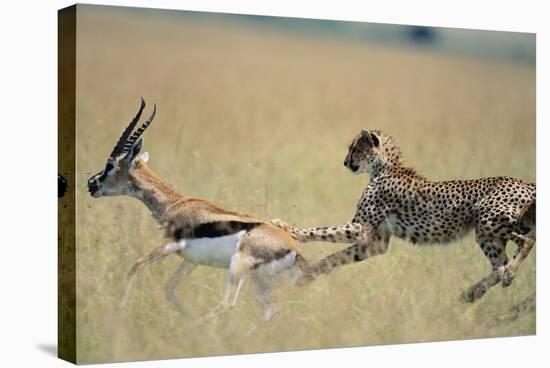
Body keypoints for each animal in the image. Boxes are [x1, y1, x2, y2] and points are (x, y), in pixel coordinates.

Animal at [274, 129, 536, 302]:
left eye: (355, 149)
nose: (345, 162)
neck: (384, 167)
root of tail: (526, 183)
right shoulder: (375, 243)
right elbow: (335, 258)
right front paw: (307, 275)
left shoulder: (361, 229)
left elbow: (321, 230)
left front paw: (287, 229)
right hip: (486, 234)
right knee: (498, 266)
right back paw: (472, 292)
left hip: (489, 219)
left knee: (526, 242)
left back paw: (507, 274)